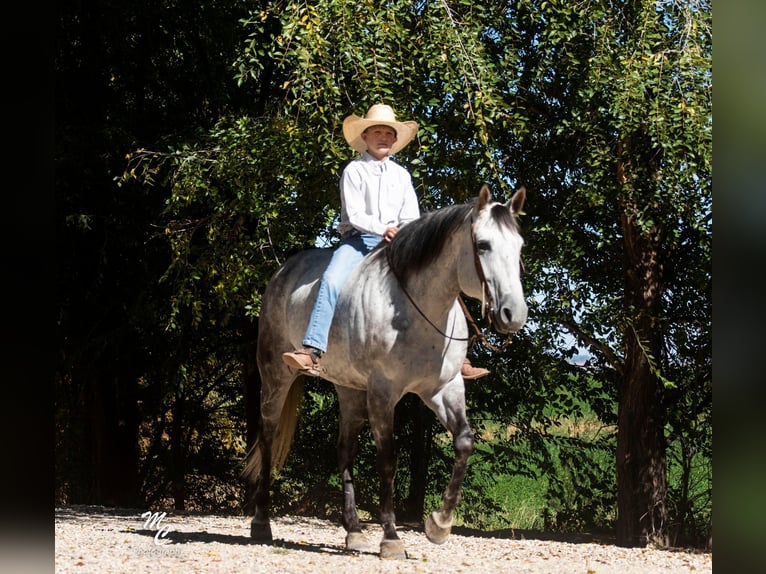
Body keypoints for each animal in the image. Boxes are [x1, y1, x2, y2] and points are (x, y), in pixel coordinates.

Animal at [246, 187, 528, 560]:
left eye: (519, 245)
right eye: (482, 244)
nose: (514, 314)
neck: (419, 310)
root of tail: (283, 272)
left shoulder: (444, 388)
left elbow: (464, 442)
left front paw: (439, 525)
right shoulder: (383, 392)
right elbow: (388, 460)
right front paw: (392, 538)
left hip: (349, 390)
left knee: (344, 450)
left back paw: (353, 532)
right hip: (276, 376)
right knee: (267, 438)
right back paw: (261, 523)